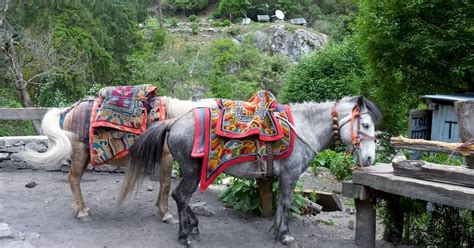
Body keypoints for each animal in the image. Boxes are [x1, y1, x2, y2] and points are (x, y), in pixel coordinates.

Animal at [21, 95, 215, 223]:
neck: (175, 121)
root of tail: (68, 110)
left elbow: (162, 185)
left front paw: (160, 209)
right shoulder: (166, 157)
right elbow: (166, 185)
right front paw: (167, 215)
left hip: (84, 156)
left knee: (74, 179)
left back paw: (79, 208)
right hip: (80, 153)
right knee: (74, 179)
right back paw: (82, 212)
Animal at [117, 96, 382, 247]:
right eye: (365, 124)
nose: (369, 159)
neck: (303, 128)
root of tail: (174, 123)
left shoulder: (283, 178)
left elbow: (280, 203)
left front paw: (275, 231)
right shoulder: (290, 175)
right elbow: (286, 203)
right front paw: (285, 235)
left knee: (178, 197)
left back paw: (193, 226)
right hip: (192, 172)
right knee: (180, 197)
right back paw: (185, 236)